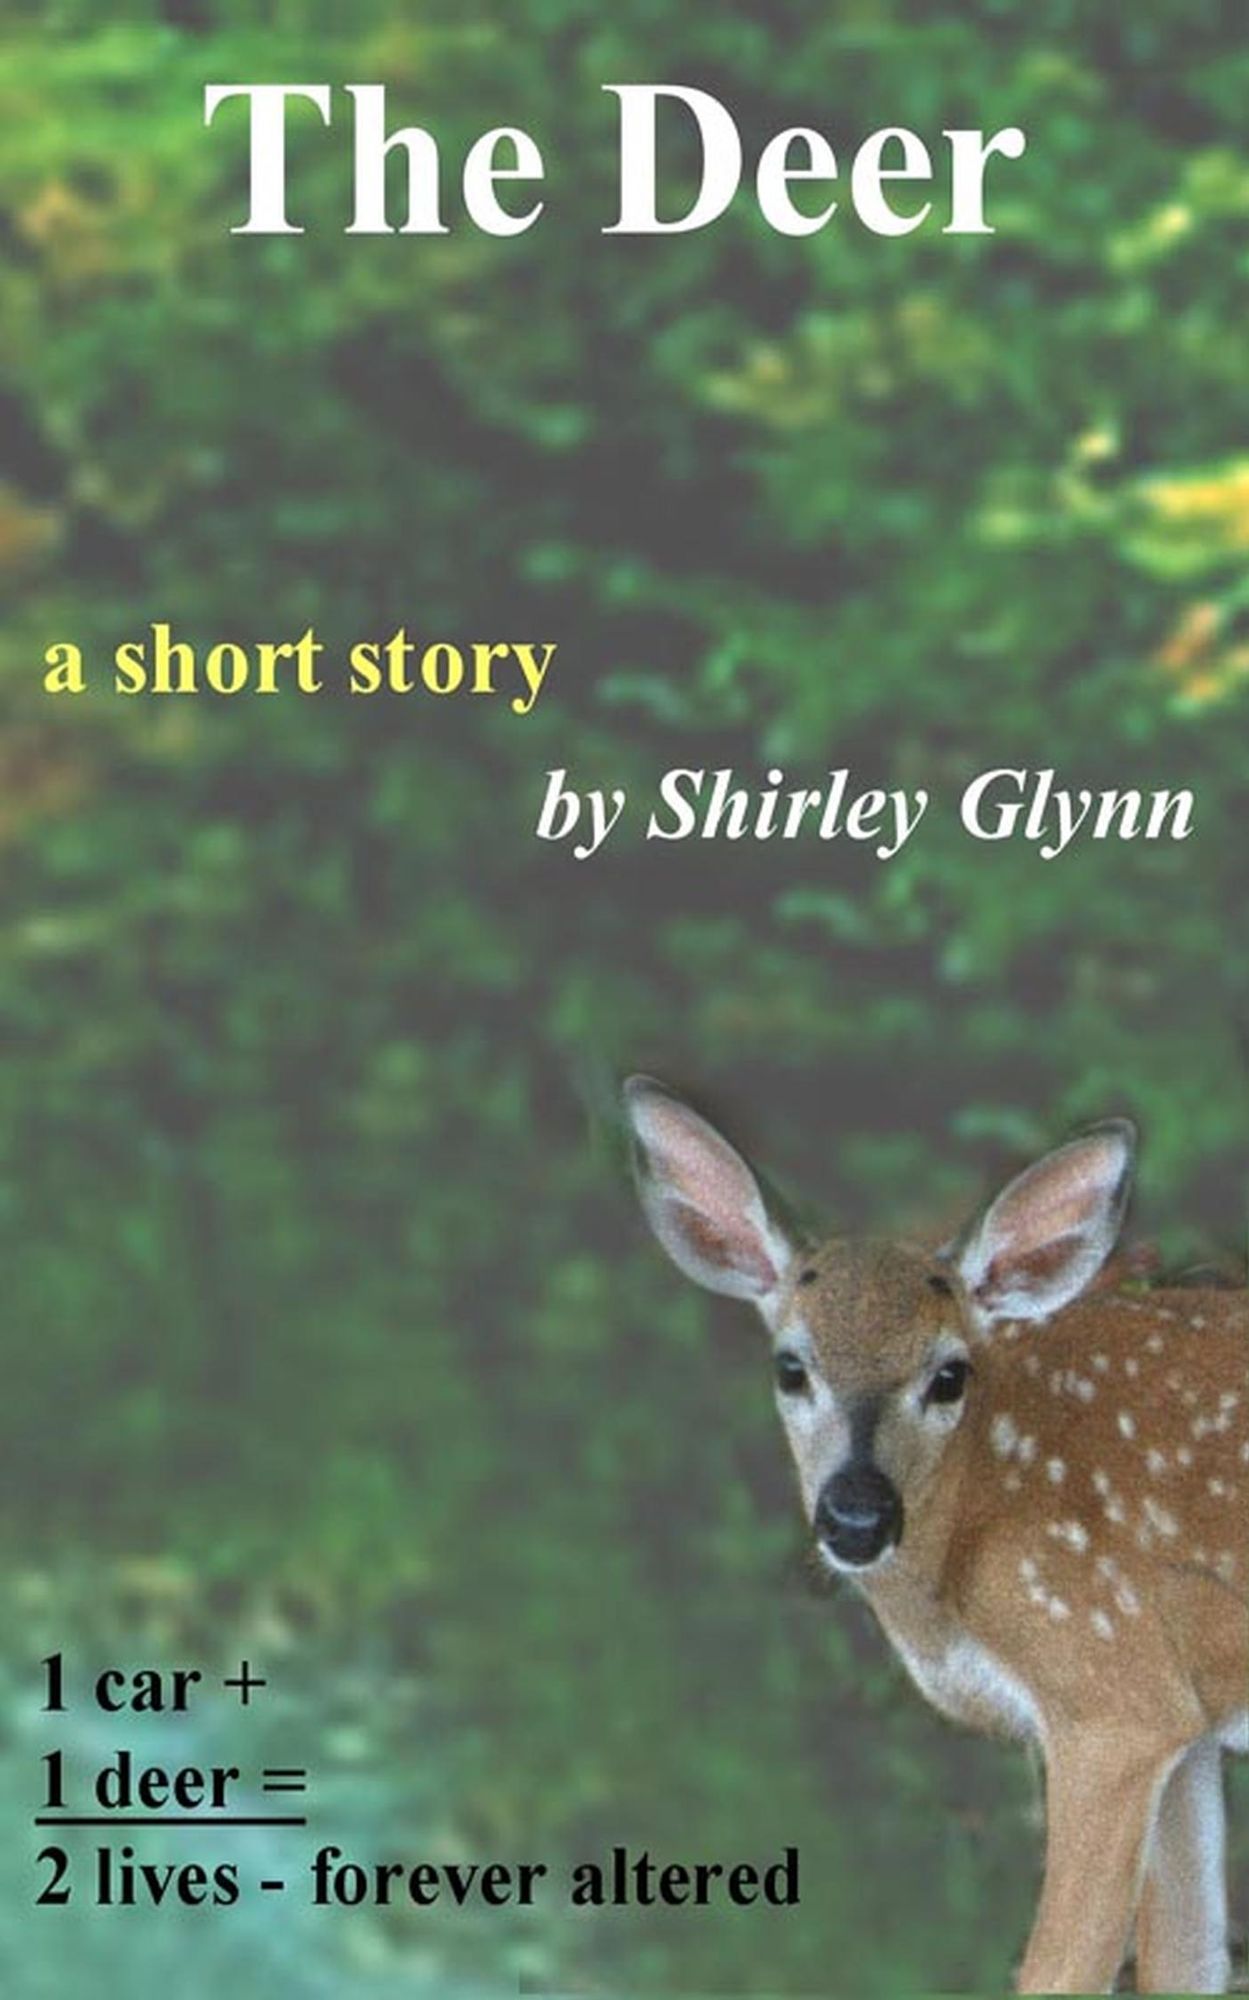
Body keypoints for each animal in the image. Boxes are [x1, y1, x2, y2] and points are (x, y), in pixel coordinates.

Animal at [623, 1077, 1247, 1994]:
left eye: (948, 1374)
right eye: (790, 1367)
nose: (856, 1515)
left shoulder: (1110, 1688)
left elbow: (1059, 1971)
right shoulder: (1185, 1722)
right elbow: (1186, 1961)